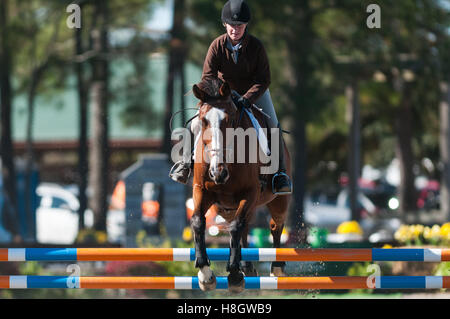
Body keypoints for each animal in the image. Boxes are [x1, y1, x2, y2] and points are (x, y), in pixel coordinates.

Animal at [190, 79, 292, 292]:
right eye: (203, 121)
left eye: (230, 121)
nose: (217, 173)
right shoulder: (202, 191)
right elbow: (198, 221)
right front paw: (205, 274)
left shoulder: (250, 192)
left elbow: (236, 227)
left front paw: (235, 274)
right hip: (225, 208)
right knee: (244, 225)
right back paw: (247, 266)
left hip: (277, 201)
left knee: (274, 225)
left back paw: (276, 267)